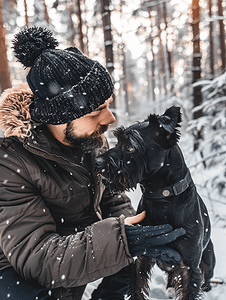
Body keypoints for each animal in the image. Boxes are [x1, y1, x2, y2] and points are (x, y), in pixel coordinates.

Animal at [95, 106, 215, 300]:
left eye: (130, 146)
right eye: (118, 141)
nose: (96, 162)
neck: (163, 198)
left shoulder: (190, 267)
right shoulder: (143, 256)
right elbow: (137, 289)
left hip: (208, 261)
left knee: (206, 276)